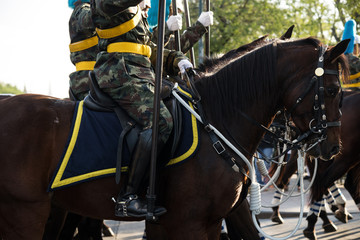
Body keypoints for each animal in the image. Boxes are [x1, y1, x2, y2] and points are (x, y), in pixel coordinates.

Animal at [0, 36, 348, 239]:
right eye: (333, 90)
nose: (333, 146)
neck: (216, 118)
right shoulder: (188, 223)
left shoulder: (207, 221)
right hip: (25, 214)